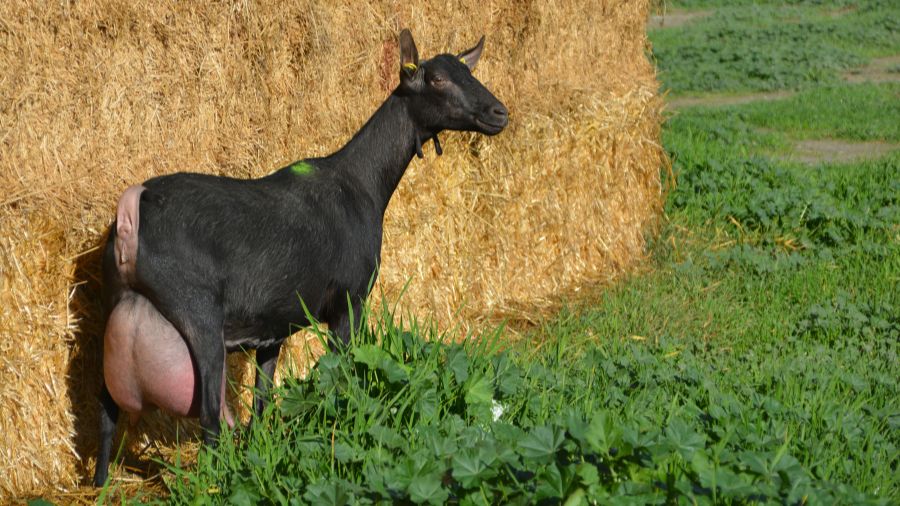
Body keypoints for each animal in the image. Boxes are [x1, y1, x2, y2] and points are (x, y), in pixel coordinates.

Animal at [93, 29, 508, 486]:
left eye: (469, 72)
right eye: (436, 79)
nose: (499, 112)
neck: (364, 186)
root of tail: (133, 209)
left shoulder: (272, 327)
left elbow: (261, 401)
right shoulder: (349, 302)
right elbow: (343, 377)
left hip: (116, 304)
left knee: (106, 409)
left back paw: (100, 484)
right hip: (196, 312)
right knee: (209, 419)